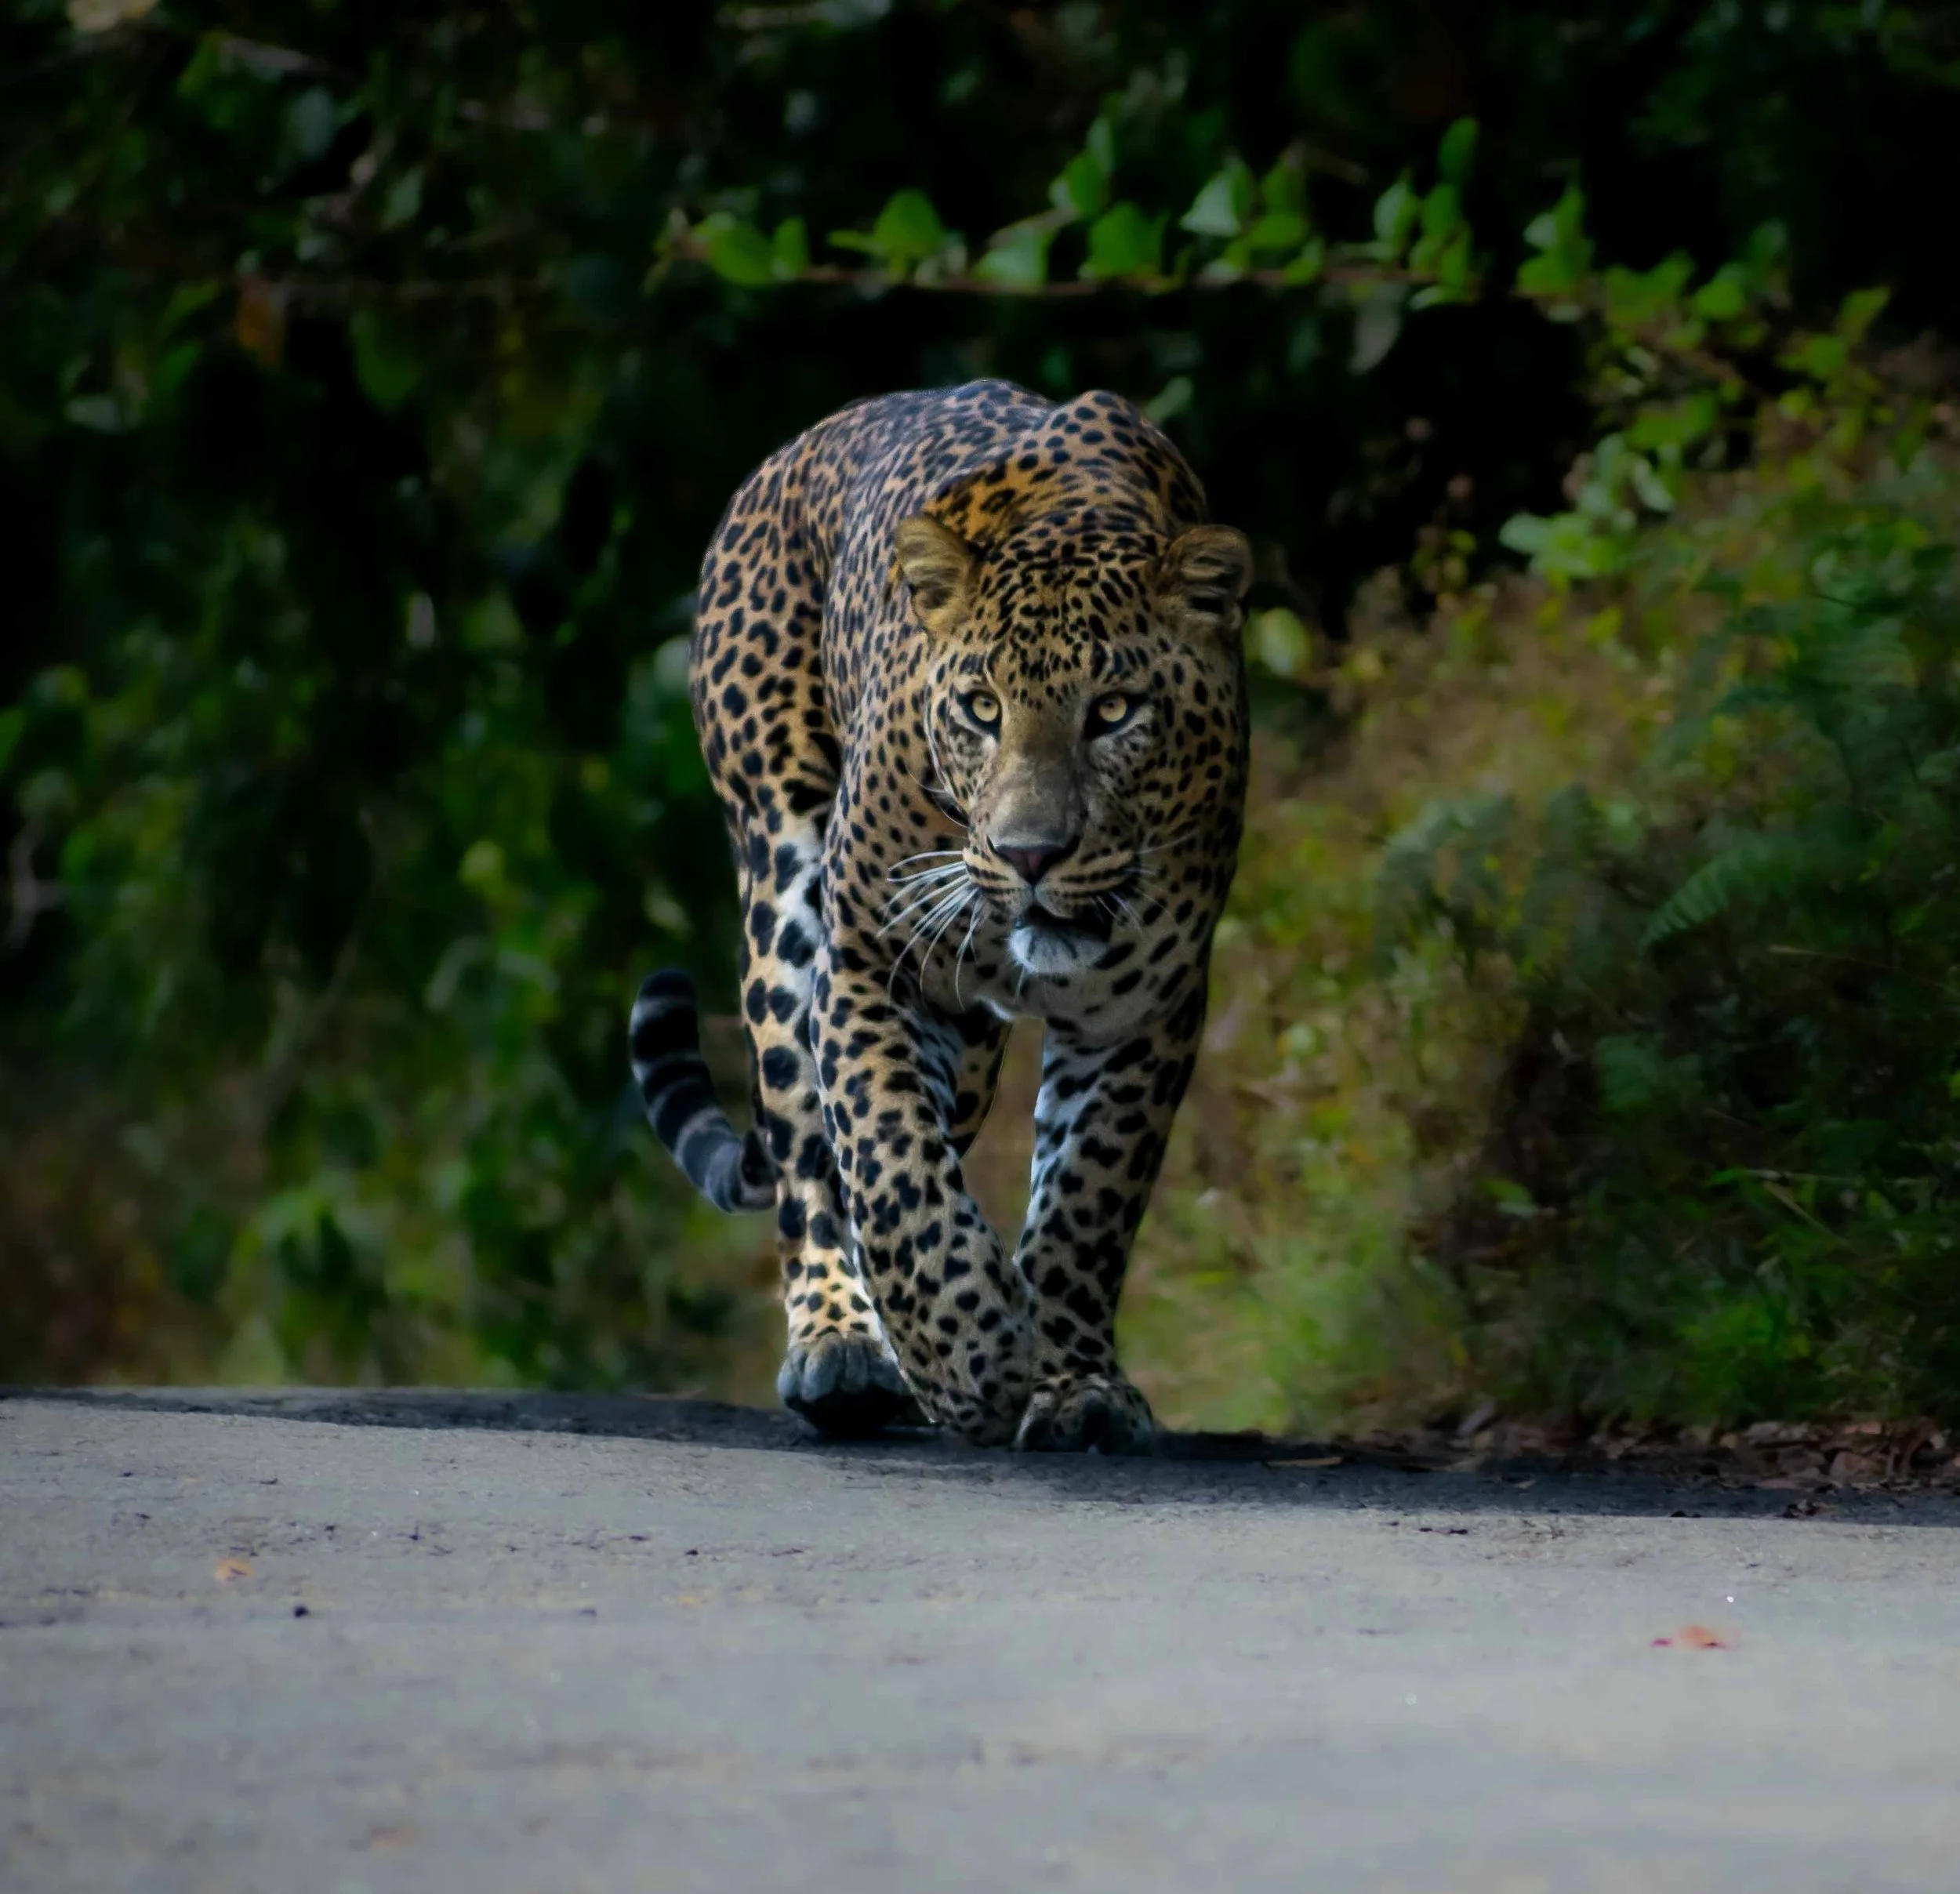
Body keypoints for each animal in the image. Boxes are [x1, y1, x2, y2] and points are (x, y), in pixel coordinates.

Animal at [629, 379, 1251, 1452]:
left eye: (1115, 711)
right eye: (979, 708)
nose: (1031, 854)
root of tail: (801, 445)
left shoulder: (1146, 1007)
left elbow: (1089, 1199)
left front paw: (1074, 1381)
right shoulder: (869, 957)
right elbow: (888, 1164)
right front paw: (971, 1353)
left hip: (970, 1050)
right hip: (780, 881)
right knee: (807, 1152)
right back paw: (841, 1347)